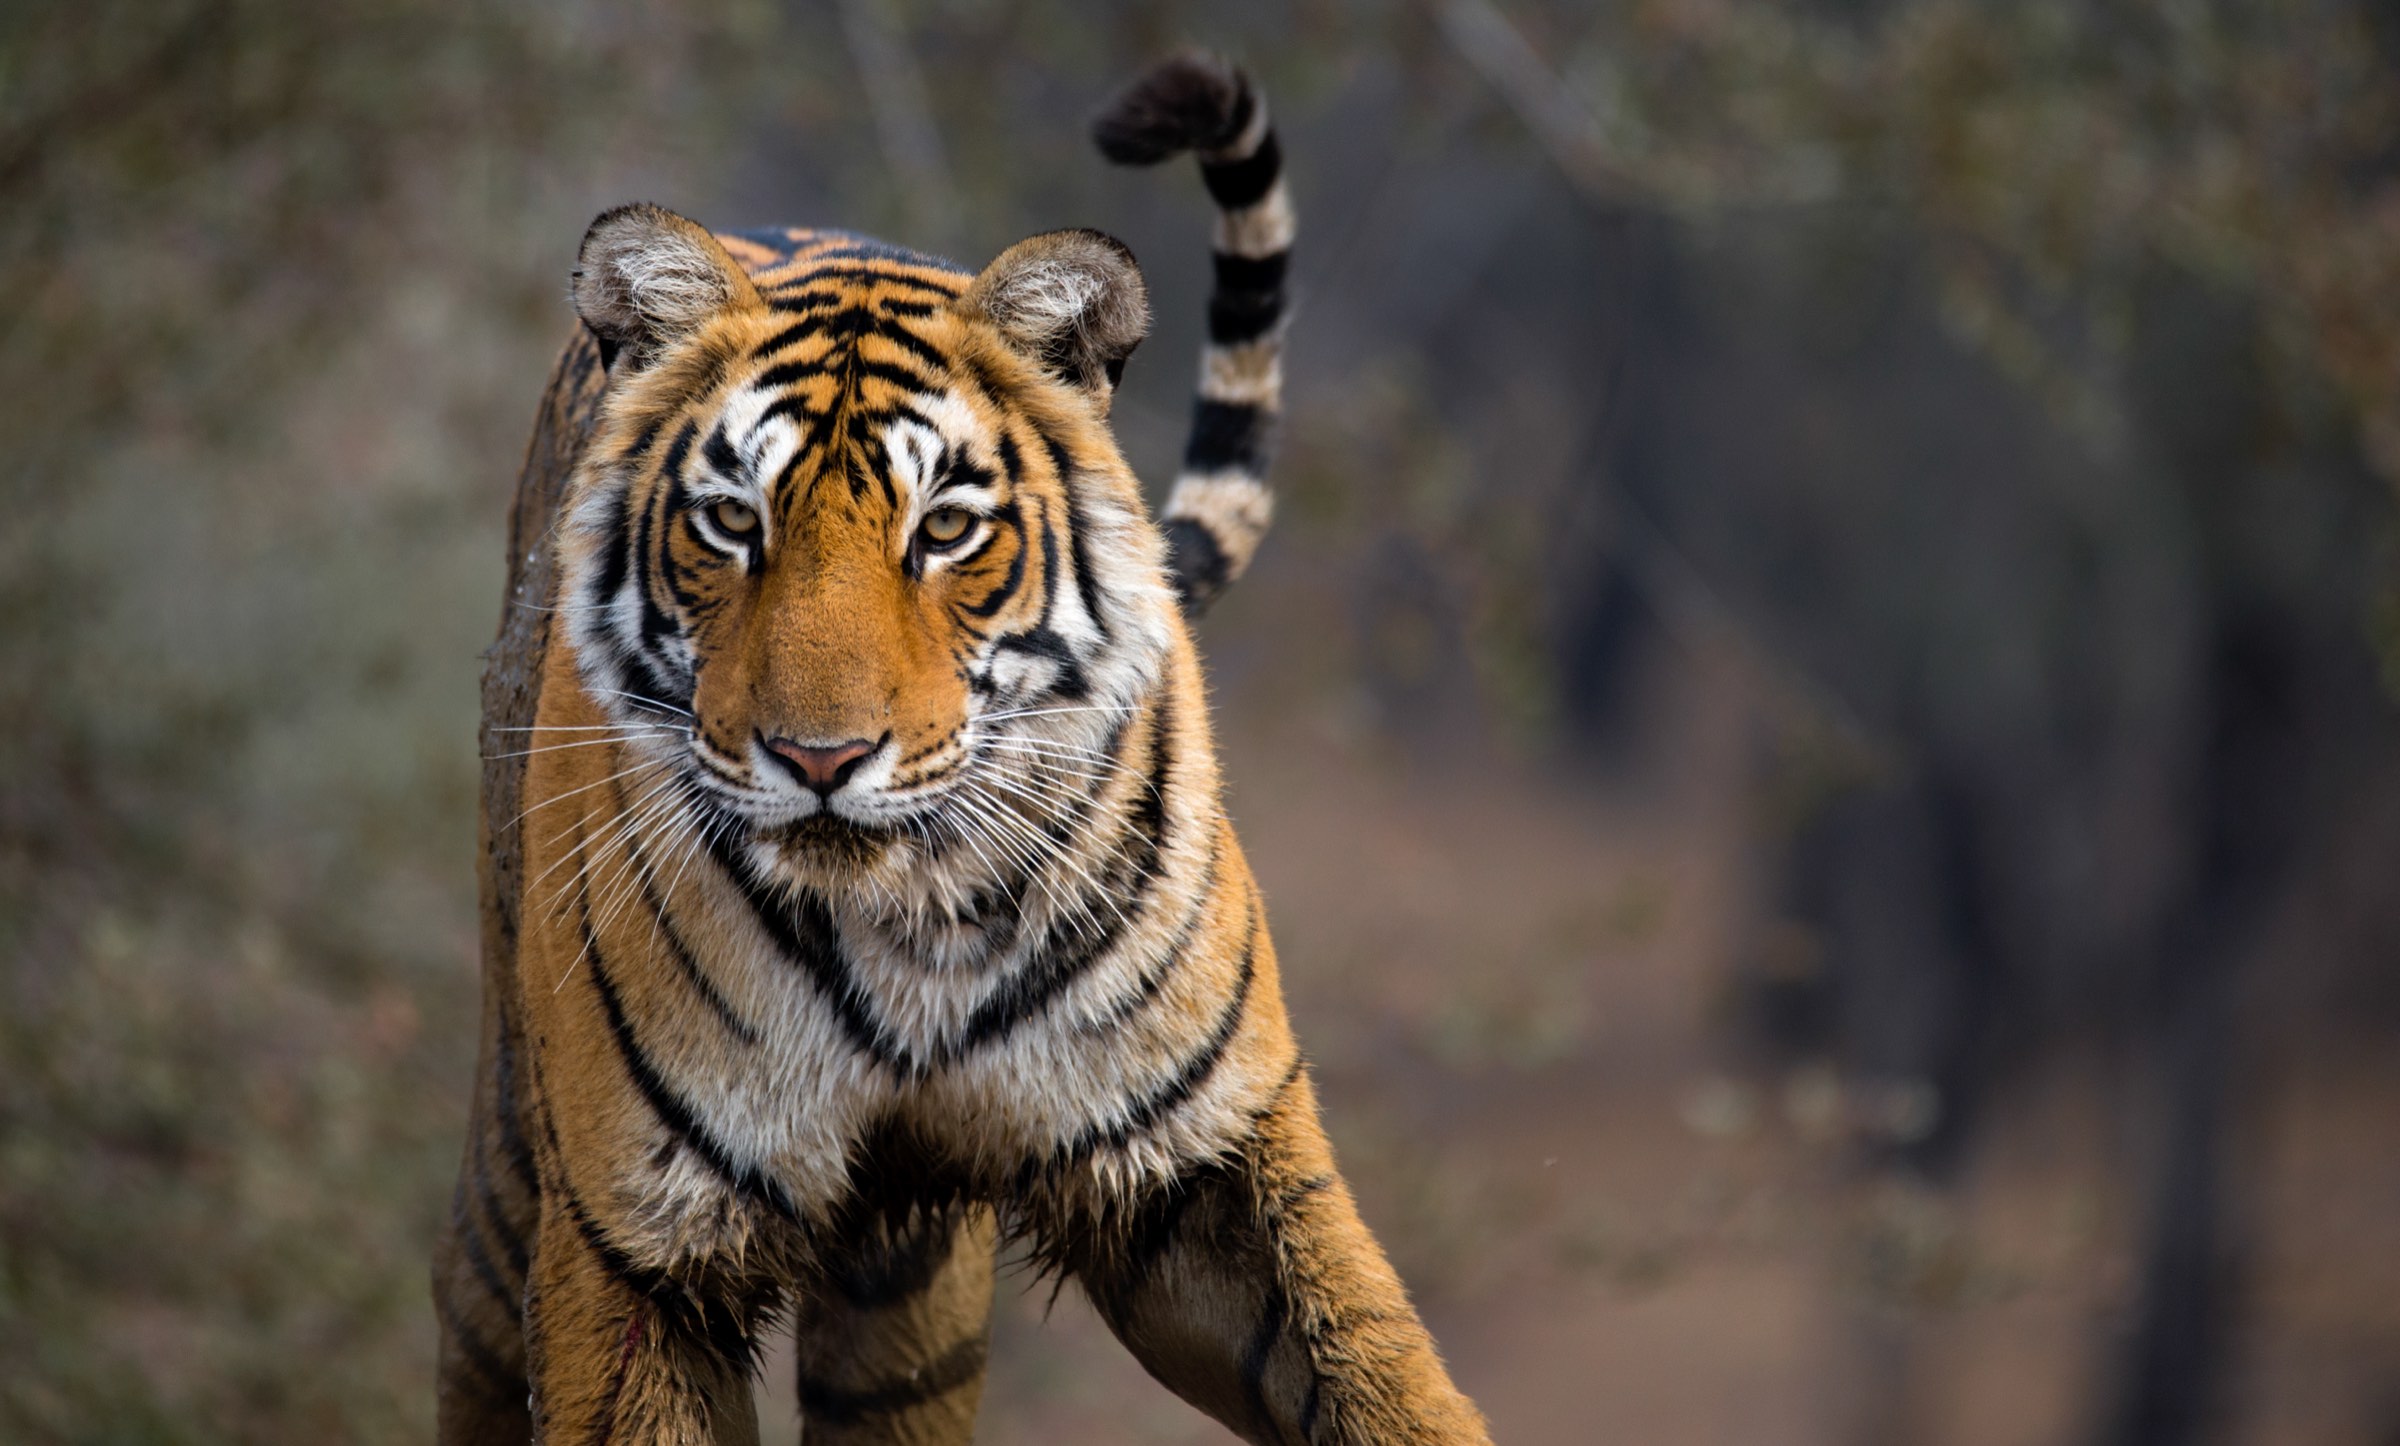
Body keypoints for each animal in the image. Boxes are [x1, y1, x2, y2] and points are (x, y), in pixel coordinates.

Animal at [433, 54, 1491, 1446]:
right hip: (514, 1164)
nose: (821, 759)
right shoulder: (637, 1246)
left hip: (908, 1311)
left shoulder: (1206, 1156)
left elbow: (1382, 1378)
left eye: (944, 529)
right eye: (731, 522)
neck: (909, 927)